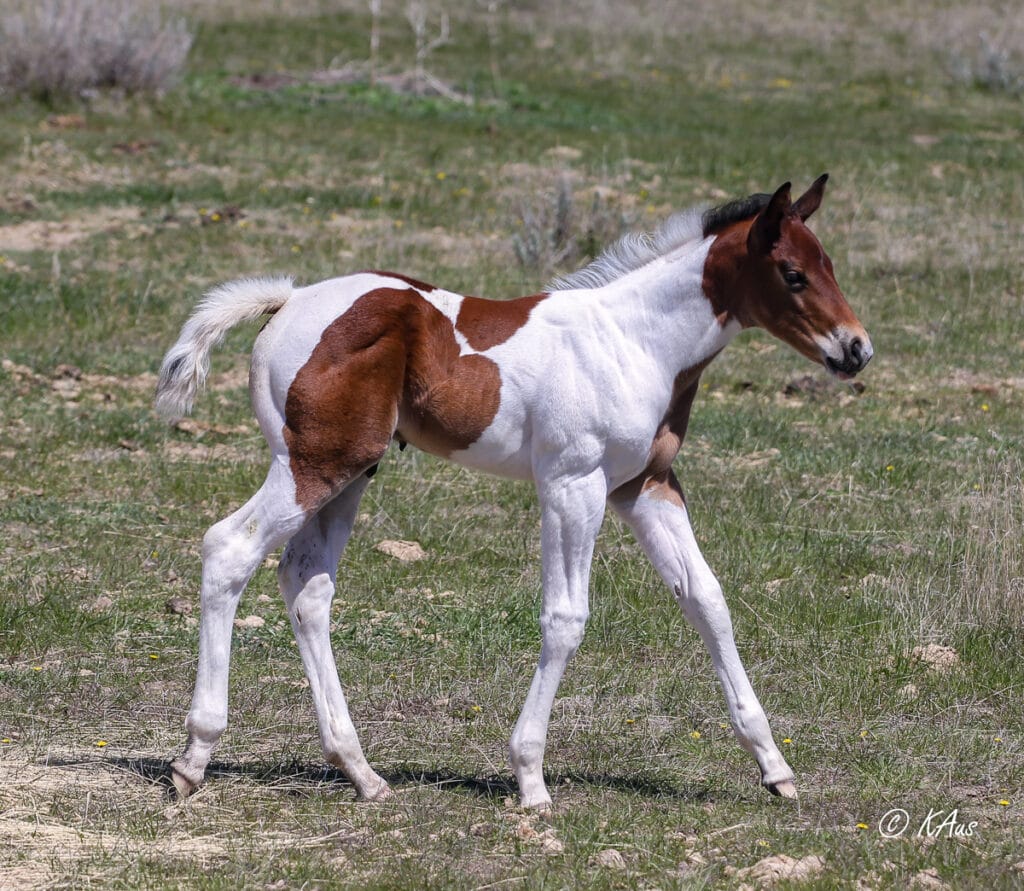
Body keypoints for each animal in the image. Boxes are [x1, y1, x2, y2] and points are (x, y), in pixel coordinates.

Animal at [156, 175, 872, 810]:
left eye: (829, 265)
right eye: (792, 273)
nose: (856, 349)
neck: (635, 343)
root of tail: (288, 301)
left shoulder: (645, 487)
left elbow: (707, 600)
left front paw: (774, 767)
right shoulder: (572, 485)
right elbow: (565, 618)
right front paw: (530, 779)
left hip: (350, 473)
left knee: (306, 584)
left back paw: (361, 772)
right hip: (313, 464)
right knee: (229, 547)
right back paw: (194, 758)